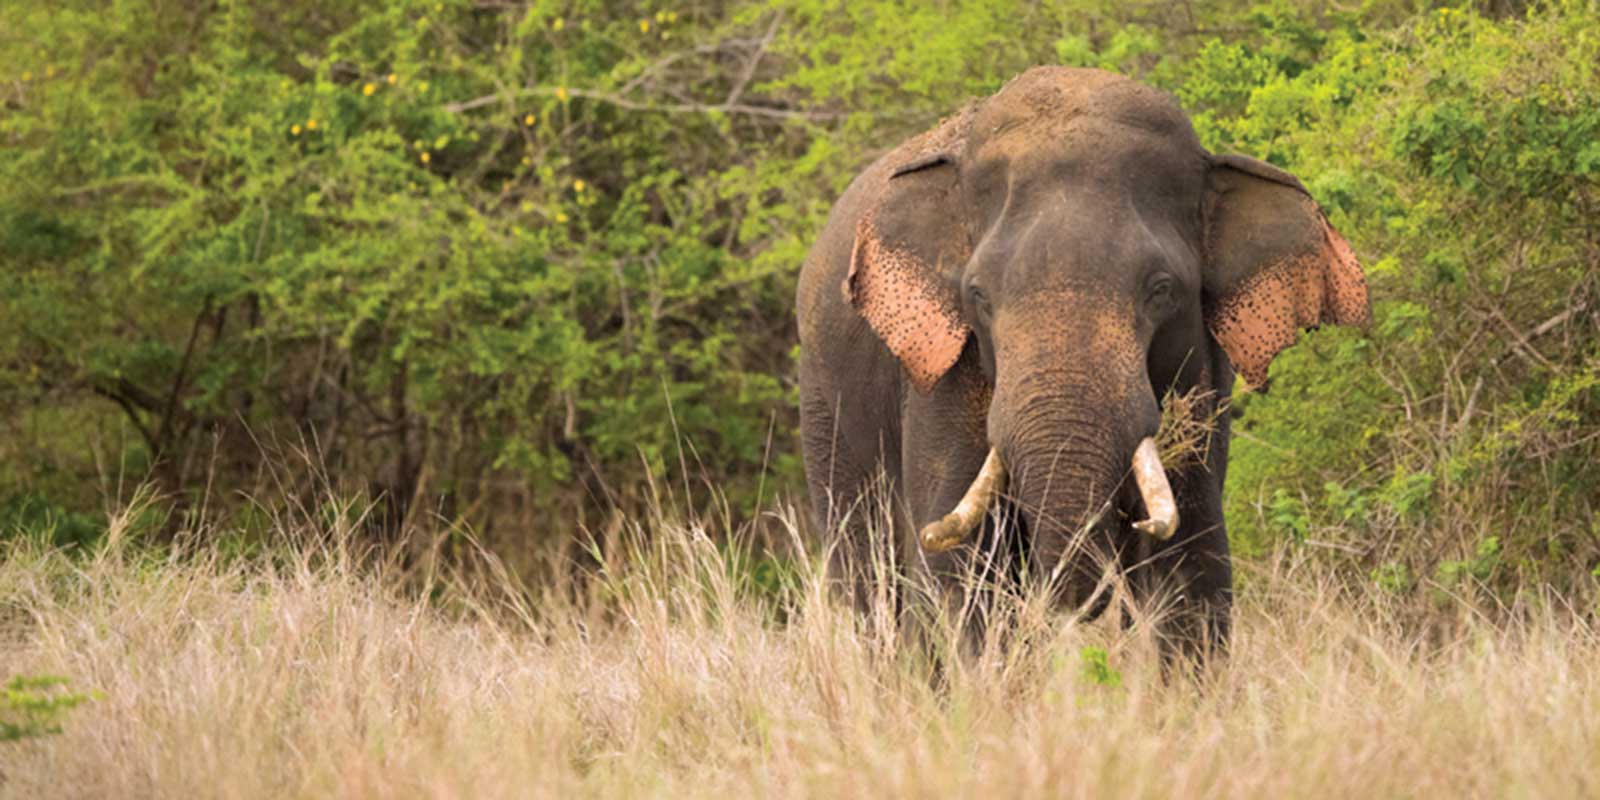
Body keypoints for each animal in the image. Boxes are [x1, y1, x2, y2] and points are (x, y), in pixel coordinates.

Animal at [795, 66, 1370, 657]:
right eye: (978, 295)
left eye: (1161, 289)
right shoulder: (944, 374)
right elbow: (958, 569)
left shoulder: (1201, 371)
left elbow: (1193, 565)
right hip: (823, 408)